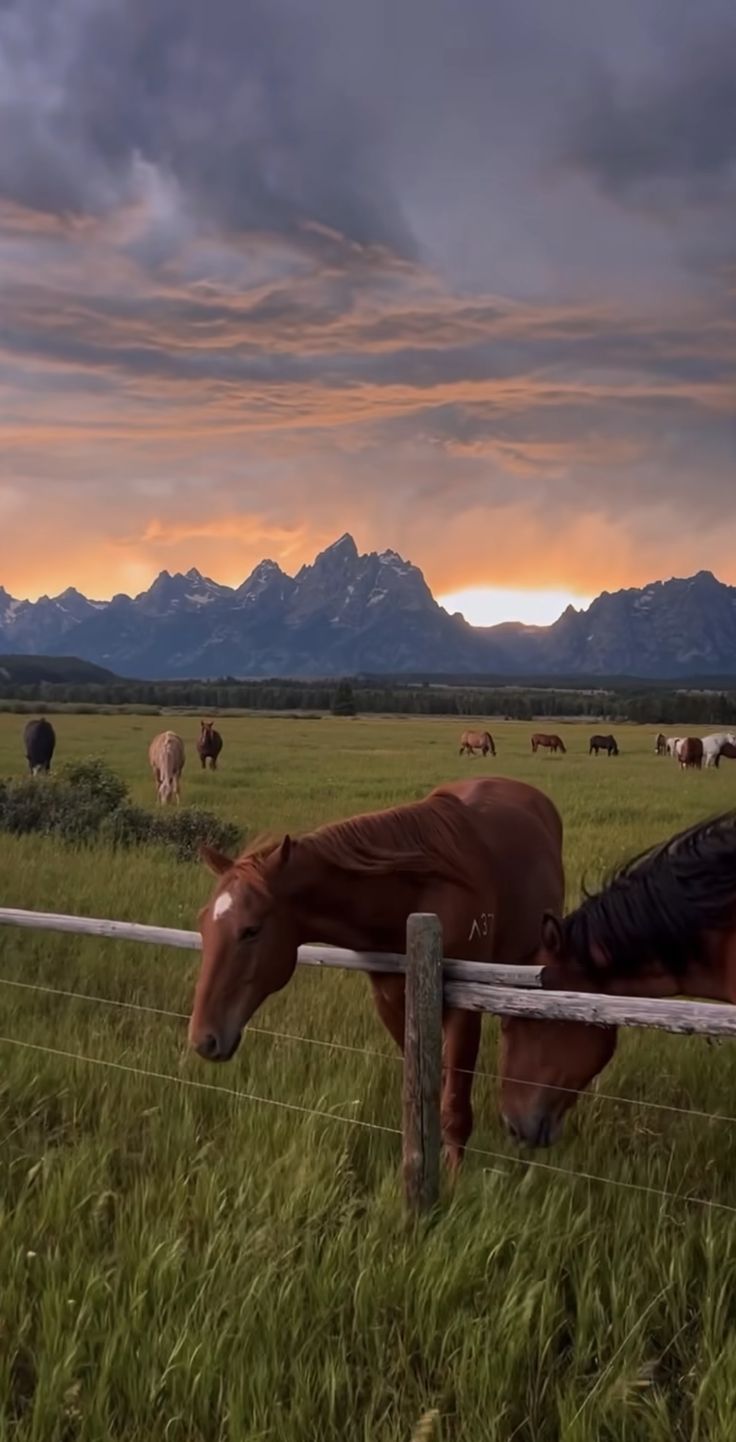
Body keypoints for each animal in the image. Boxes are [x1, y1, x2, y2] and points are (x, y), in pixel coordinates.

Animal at [189, 772, 562, 1165]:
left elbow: (454, 1112)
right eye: (203, 924)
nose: (204, 1039)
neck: (412, 901)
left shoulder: (463, 1008)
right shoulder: (391, 1002)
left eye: (251, 930)